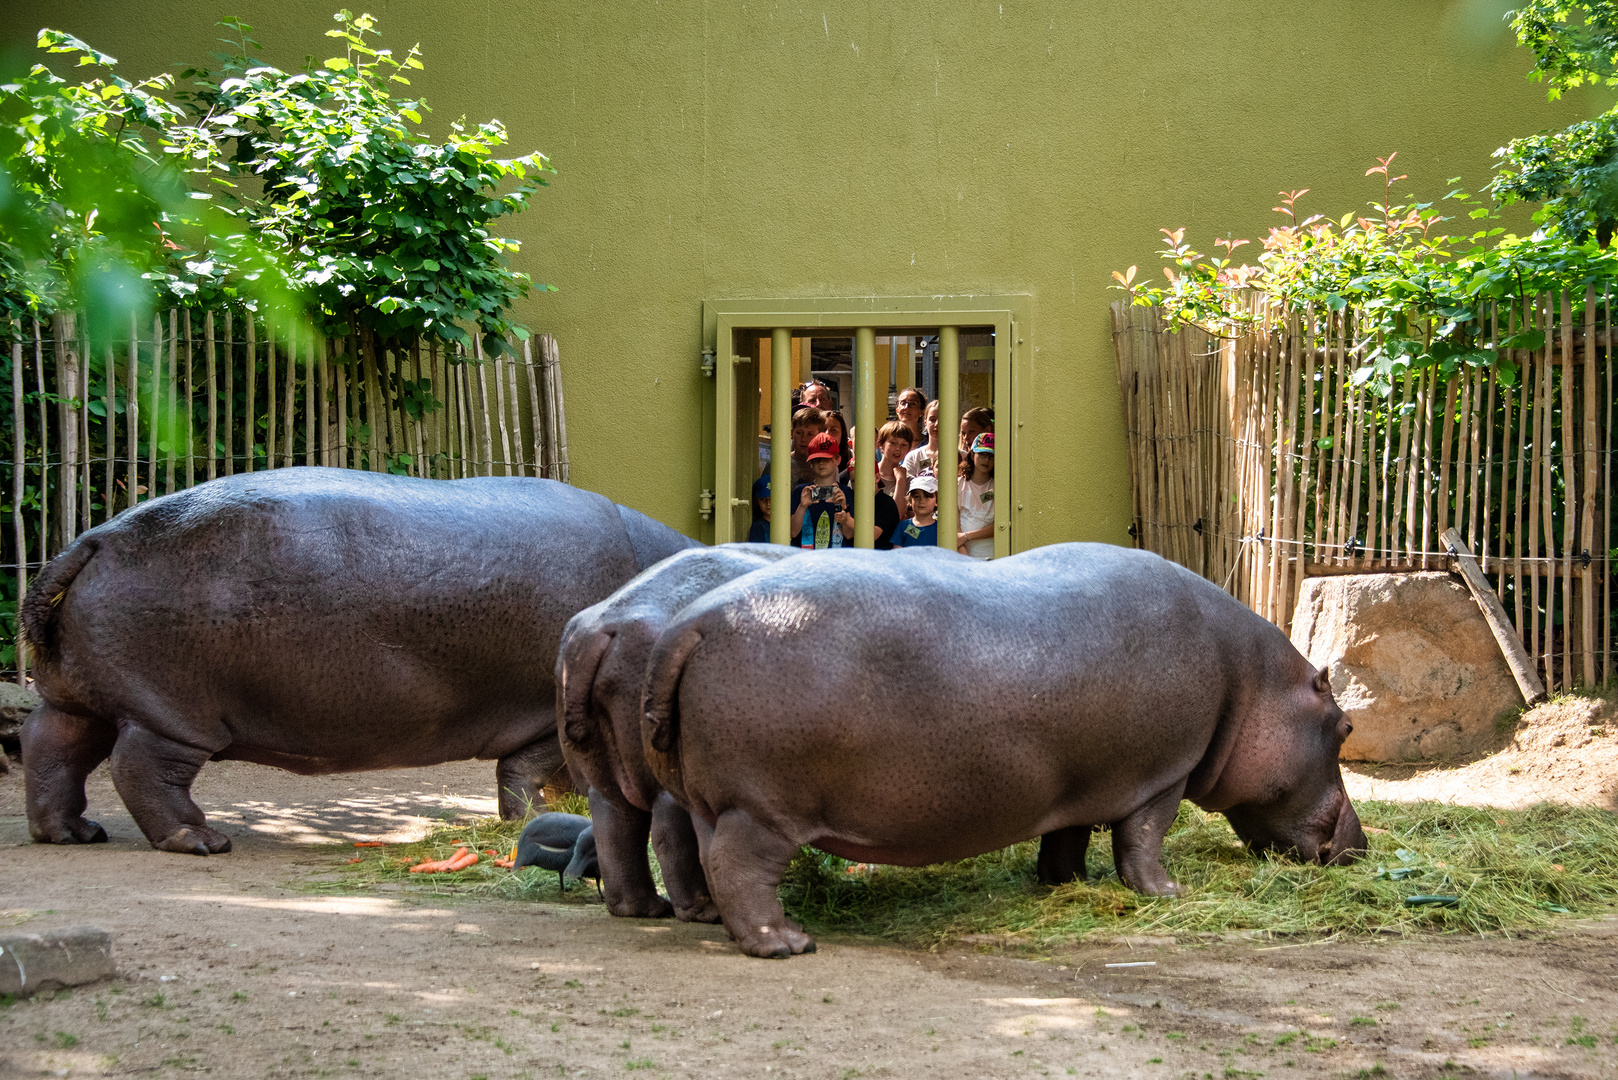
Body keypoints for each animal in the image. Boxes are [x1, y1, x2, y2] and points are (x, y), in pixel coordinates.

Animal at [19, 469, 698, 854]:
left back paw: (72, 834)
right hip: (172, 713)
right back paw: (204, 841)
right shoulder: (546, 716)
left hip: (84, 696)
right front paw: (541, 818)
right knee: (142, 769)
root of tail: (94, 538)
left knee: (50, 745)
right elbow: (526, 776)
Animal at [559, 544, 799, 926]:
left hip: (601, 776)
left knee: (615, 827)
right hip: (666, 774)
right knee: (669, 835)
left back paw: (644, 909)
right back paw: (703, 911)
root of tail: (602, 629)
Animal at [640, 544, 1365, 958]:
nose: (1360, 846)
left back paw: (716, 922)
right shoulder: (1164, 776)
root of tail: (690, 624)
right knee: (739, 867)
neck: (1252, 680)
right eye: (1345, 728)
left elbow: (1067, 837)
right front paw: (1170, 894)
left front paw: (1066, 884)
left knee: (693, 846)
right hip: (761, 809)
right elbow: (1143, 841)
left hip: (705, 799)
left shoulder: (1083, 779)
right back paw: (787, 944)